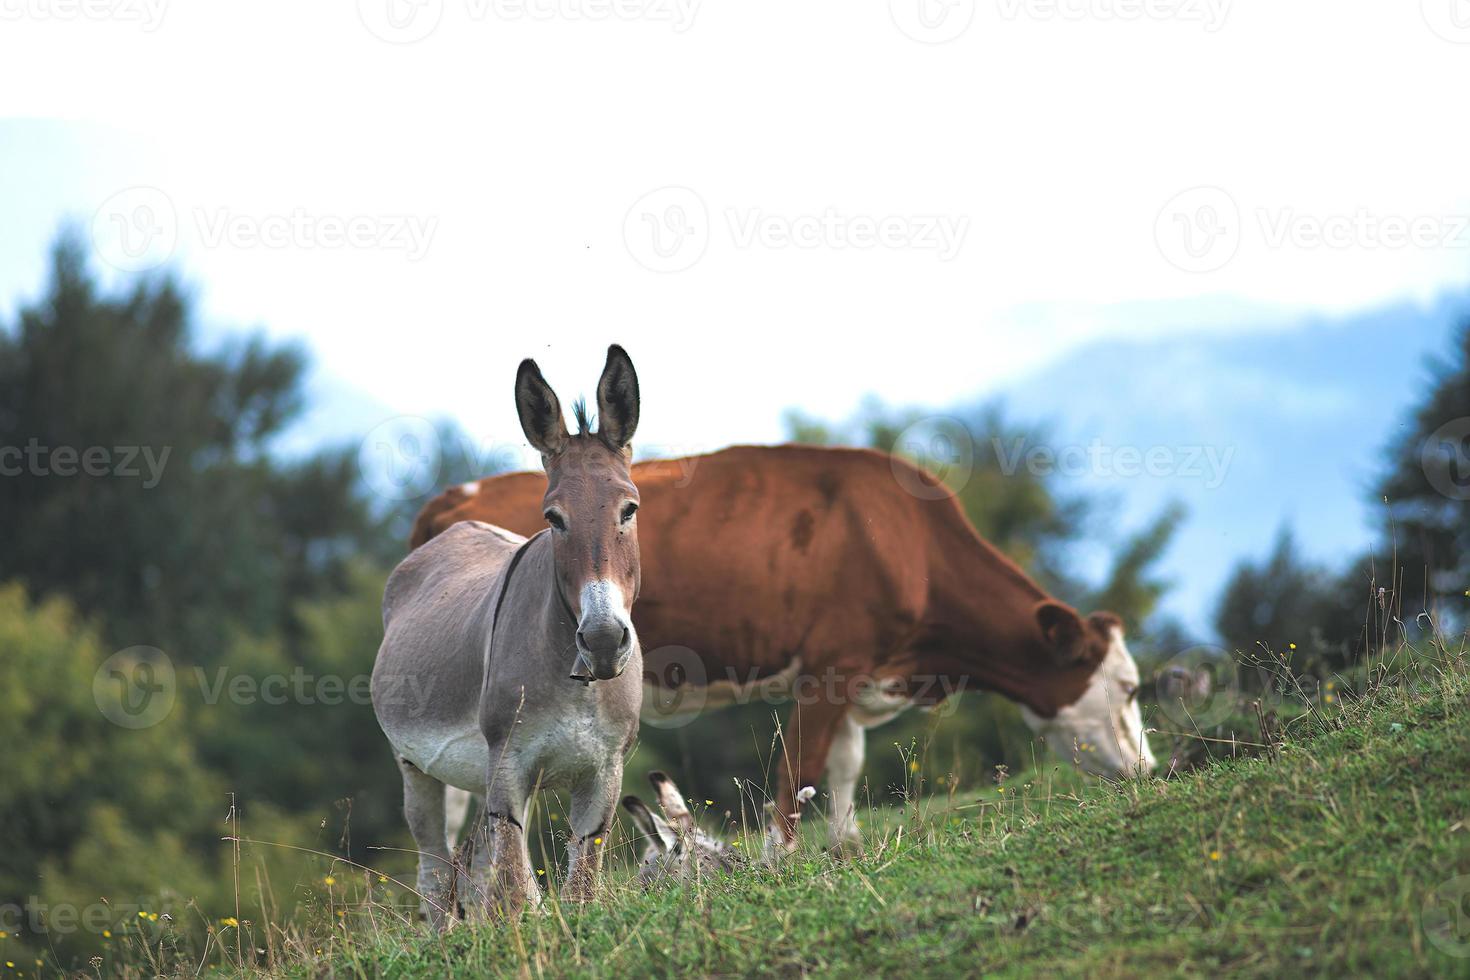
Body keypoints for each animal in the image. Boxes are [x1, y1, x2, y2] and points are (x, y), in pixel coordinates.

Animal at [408, 449, 1152, 852]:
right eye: (1127, 688)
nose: (1151, 769)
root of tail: (453, 498)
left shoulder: (851, 673)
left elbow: (844, 765)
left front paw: (845, 847)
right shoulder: (830, 668)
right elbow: (799, 767)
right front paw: (776, 856)